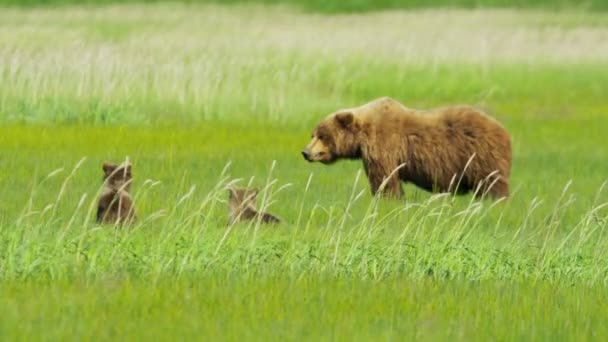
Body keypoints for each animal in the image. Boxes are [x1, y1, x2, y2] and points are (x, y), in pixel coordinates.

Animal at [302, 96, 510, 199]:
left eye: (322, 136)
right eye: (313, 134)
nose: (305, 152)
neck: (362, 137)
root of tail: (505, 131)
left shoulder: (384, 146)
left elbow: (385, 179)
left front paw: (387, 199)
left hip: (481, 157)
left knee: (492, 186)